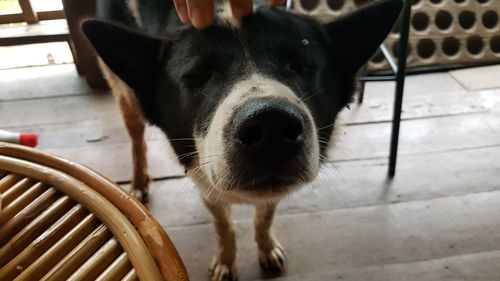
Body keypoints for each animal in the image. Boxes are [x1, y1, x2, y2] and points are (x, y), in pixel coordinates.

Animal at [82, 1, 402, 278]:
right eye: (198, 75)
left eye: (301, 65)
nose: (271, 124)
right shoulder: (207, 184)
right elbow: (224, 225)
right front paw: (225, 261)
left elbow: (264, 217)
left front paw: (266, 248)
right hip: (124, 94)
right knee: (137, 138)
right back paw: (138, 182)